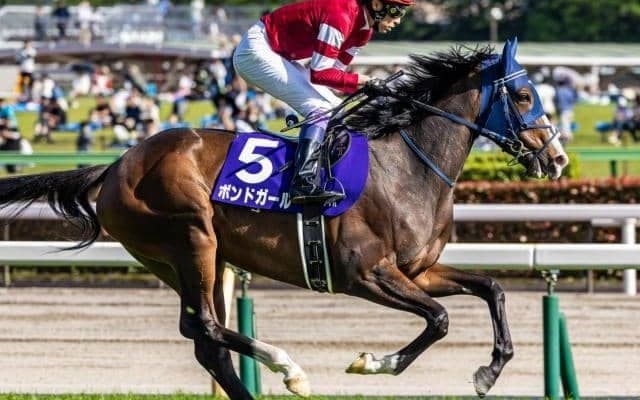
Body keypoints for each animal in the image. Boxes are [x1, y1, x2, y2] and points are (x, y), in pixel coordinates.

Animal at [0, 39, 567, 399]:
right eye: (523, 95)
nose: (558, 158)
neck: (407, 166)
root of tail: (117, 165)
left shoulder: (417, 270)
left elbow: (491, 289)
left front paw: (489, 371)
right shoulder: (364, 274)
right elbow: (441, 319)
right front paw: (373, 363)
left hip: (183, 257)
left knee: (202, 336)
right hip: (191, 237)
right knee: (207, 325)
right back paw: (287, 367)